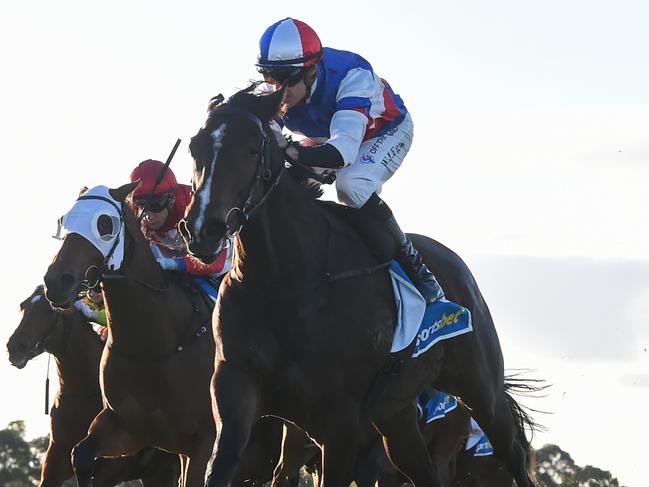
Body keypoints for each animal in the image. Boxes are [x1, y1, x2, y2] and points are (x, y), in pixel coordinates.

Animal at [6, 286, 180, 487]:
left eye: (49, 310)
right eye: (23, 305)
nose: (14, 348)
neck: (83, 393)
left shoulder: (107, 469)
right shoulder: (54, 462)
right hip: (157, 473)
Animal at [181, 86, 536, 486]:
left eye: (252, 151)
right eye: (195, 147)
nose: (202, 230)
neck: (283, 282)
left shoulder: (341, 423)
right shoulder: (236, 385)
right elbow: (222, 463)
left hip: (480, 389)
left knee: (512, 452)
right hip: (396, 416)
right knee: (422, 468)